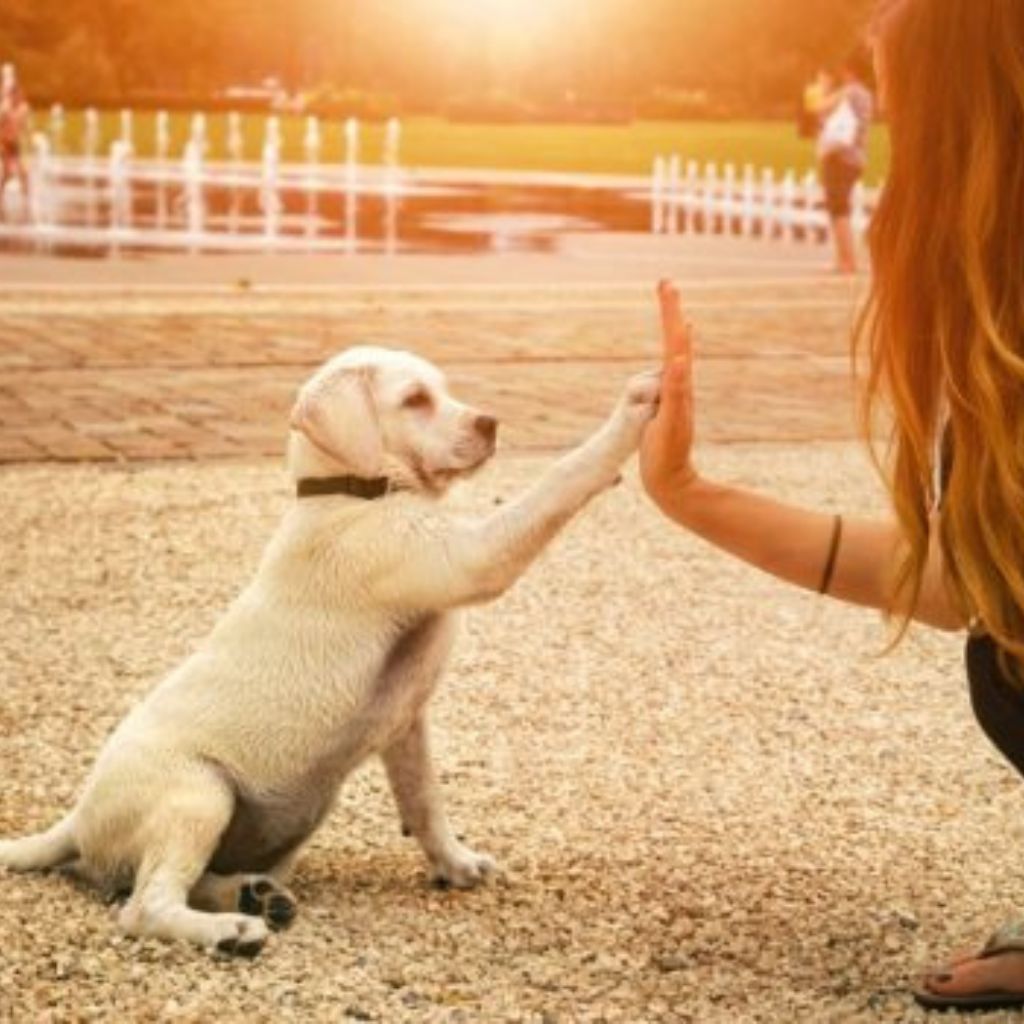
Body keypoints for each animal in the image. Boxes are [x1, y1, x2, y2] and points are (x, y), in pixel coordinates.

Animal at [0, 348, 659, 954]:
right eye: (415, 400)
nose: (491, 423)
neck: (351, 493)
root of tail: (77, 820)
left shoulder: (407, 722)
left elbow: (425, 802)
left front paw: (455, 863)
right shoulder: (470, 556)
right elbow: (557, 482)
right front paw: (632, 412)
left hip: (280, 819)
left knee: (188, 881)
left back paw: (256, 895)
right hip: (197, 794)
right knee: (144, 906)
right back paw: (232, 929)